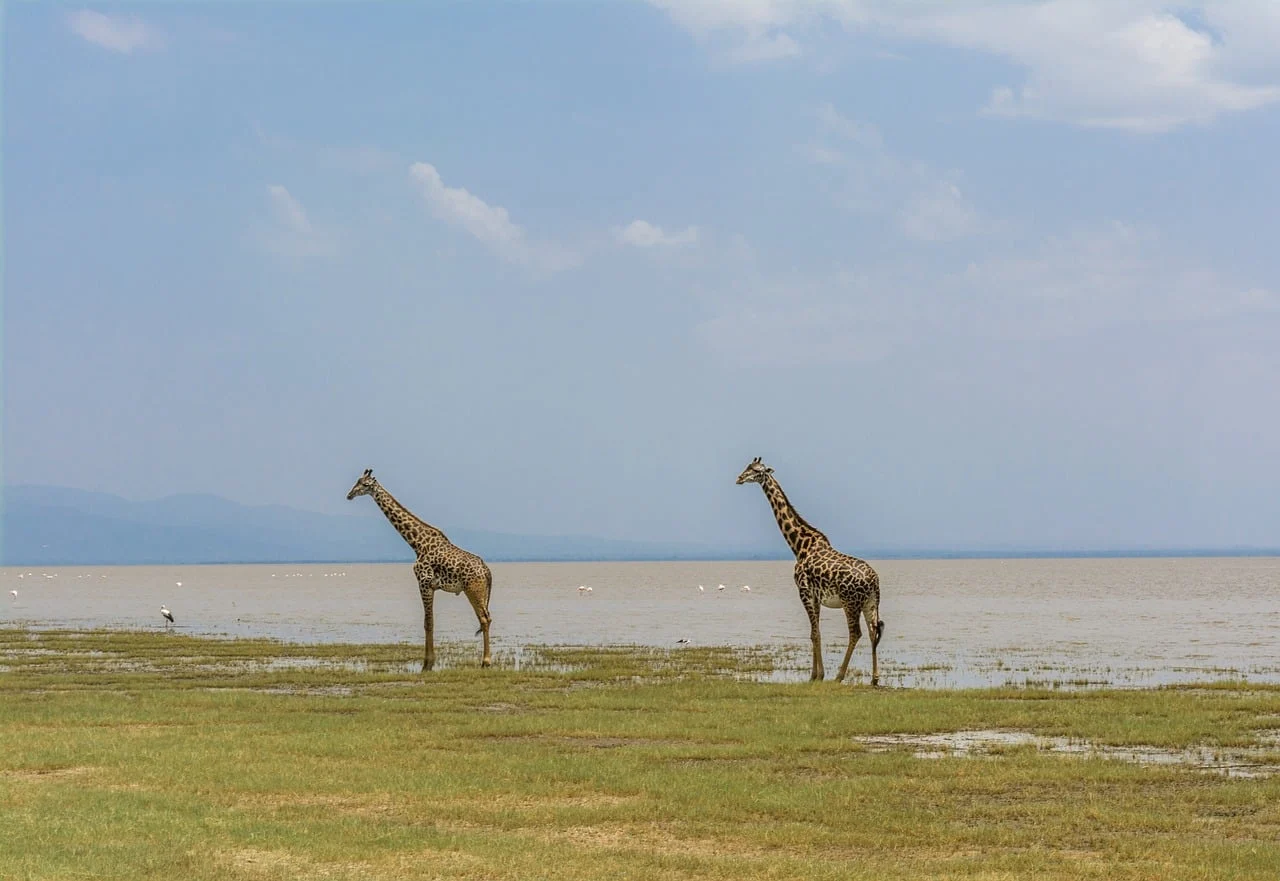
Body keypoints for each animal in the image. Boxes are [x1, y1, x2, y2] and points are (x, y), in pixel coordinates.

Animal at [346, 468, 493, 672]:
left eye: (365, 484)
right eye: (357, 481)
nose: (349, 495)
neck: (417, 544)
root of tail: (487, 571)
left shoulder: (424, 583)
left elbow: (428, 622)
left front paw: (427, 664)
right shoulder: (430, 586)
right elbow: (429, 622)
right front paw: (428, 662)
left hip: (473, 590)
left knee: (484, 619)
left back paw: (486, 661)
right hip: (480, 591)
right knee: (486, 618)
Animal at [736, 457, 884, 685]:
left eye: (758, 471)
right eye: (747, 467)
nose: (740, 478)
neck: (799, 546)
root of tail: (874, 580)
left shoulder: (804, 591)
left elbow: (814, 633)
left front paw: (817, 676)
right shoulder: (816, 596)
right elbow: (816, 632)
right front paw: (815, 674)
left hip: (850, 603)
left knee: (856, 633)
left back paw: (839, 676)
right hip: (870, 603)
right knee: (872, 631)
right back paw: (875, 679)